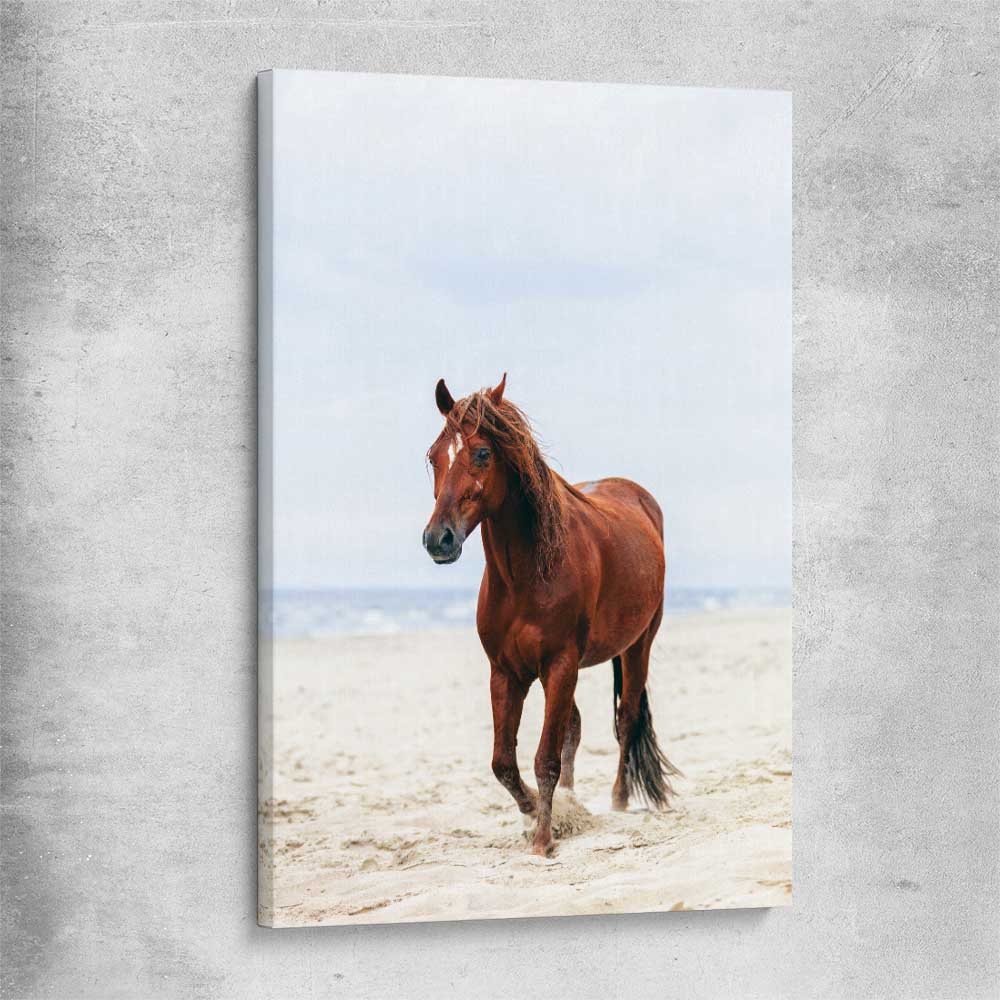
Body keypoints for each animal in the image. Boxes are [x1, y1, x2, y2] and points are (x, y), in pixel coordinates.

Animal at [422, 374, 680, 856]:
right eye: (434, 456)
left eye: (482, 453)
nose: (438, 539)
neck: (527, 576)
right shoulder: (506, 672)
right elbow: (504, 762)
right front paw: (537, 812)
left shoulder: (560, 664)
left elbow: (545, 758)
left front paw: (544, 838)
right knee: (575, 727)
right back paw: (574, 799)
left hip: (637, 646)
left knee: (626, 720)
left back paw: (618, 800)